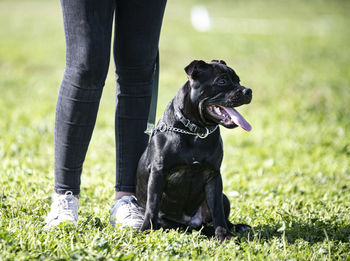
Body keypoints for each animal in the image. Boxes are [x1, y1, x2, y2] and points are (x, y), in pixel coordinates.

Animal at [135, 60, 253, 241]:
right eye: (222, 81)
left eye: (238, 80)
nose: (248, 91)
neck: (196, 131)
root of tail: (192, 222)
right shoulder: (158, 173)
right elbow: (152, 206)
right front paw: (145, 230)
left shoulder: (213, 176)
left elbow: (217, 211)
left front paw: (224, 235)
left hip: (224, 197)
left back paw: (236, 227)